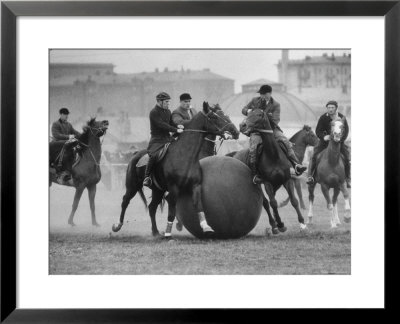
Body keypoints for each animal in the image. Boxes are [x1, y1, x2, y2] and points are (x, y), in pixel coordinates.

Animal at [111, 102, 239, 237]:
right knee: (125, 201)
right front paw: (169, 232)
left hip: (158, 190)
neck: (185, 155)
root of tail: (135, 154)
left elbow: (198, 205)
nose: (235, 131)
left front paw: (206, 227)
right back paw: (117, 226)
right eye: (214, 117)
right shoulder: (174, 188)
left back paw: (155, 232)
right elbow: (172, 211)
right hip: (132, 186)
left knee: (152, 207)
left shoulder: (195, 186)